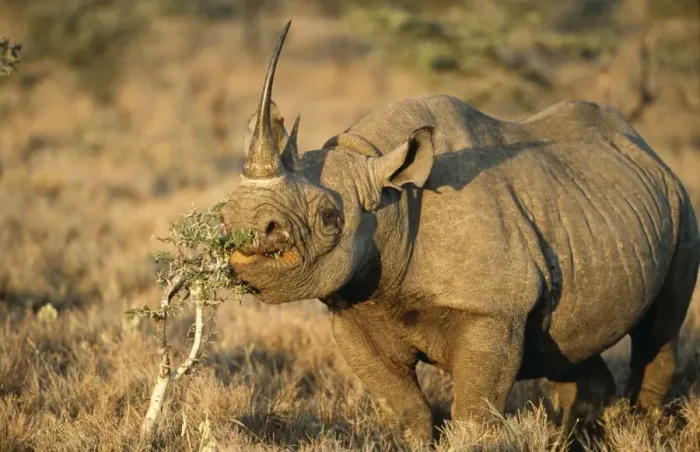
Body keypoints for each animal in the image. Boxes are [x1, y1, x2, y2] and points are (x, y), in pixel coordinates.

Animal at [221, 20, 700, 444]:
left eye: (328, 218)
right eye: (226, 212)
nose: (243, 226)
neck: (392, 203)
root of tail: (649, 152)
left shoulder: (493, 309)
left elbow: (473, 413)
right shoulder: (353, 309)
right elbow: (406, 410)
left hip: (681, 208)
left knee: (659, 334)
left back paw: (642, 428)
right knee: (567, 349)